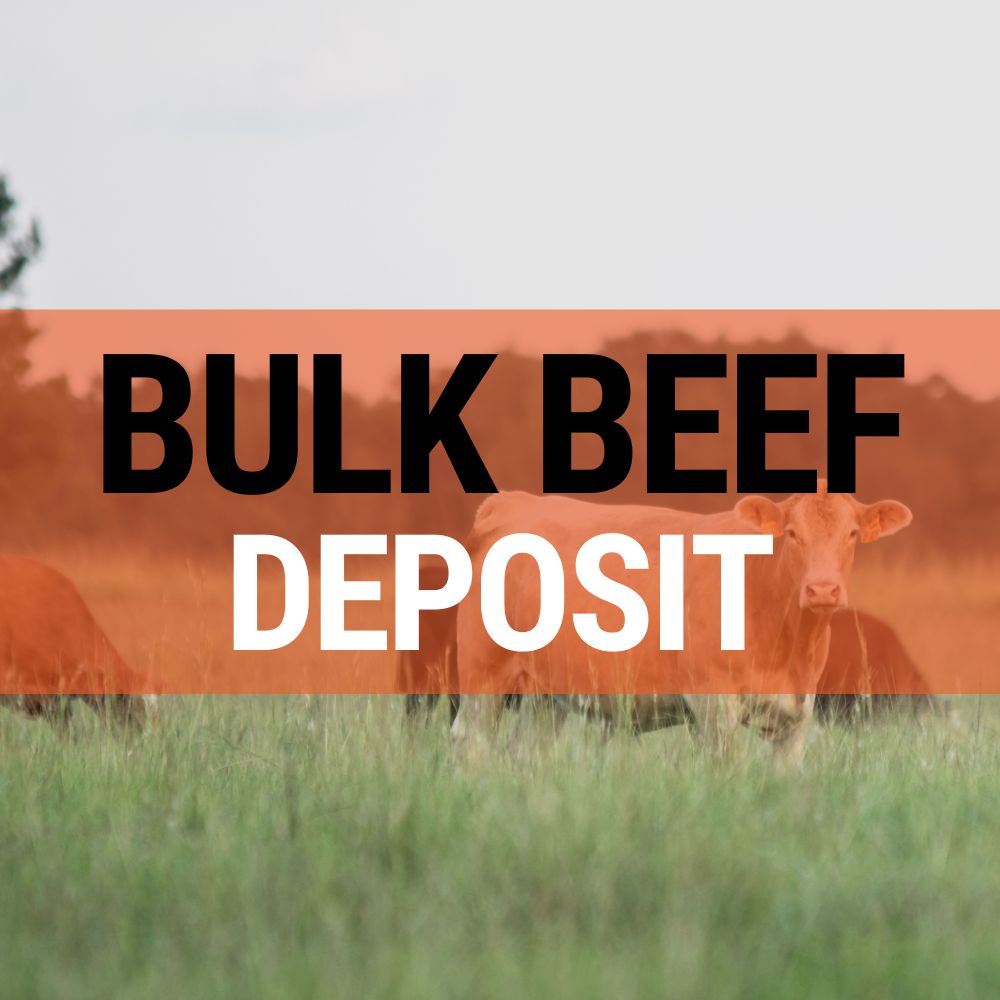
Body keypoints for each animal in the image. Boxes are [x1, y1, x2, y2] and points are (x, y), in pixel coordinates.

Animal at [450, 483, 911, 766]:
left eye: (852, 534)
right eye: (792, 534)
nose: (822, 590)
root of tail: (515, 501)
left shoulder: (796, 717)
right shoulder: (713, 706)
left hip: (546, 692)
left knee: (527, 751)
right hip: (484, 675)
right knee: (473, 744)